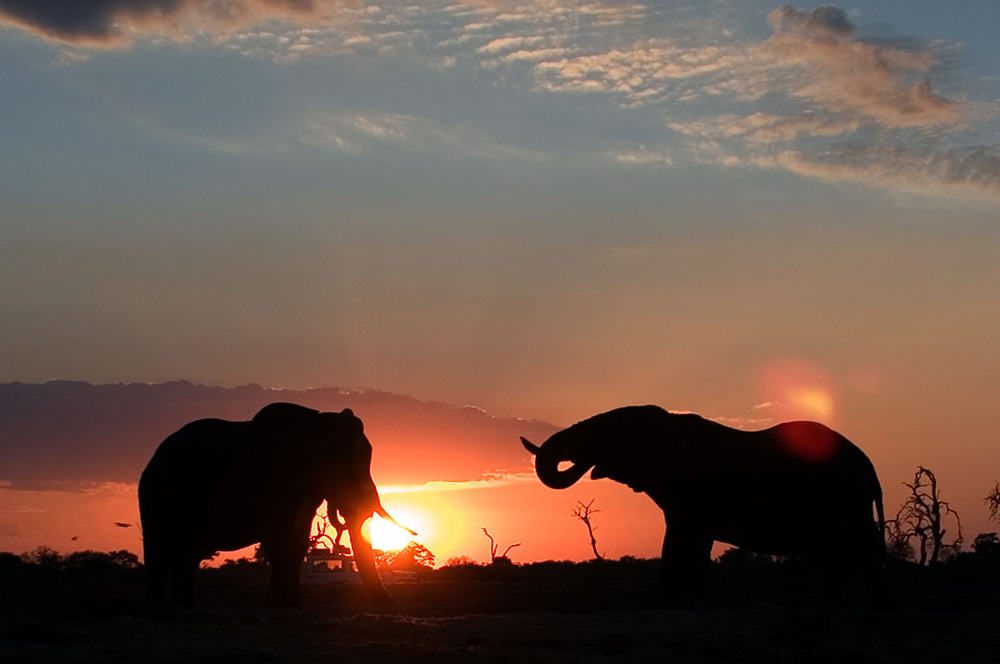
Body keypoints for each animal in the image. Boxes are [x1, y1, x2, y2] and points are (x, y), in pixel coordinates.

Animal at [138, 400, 402, 608]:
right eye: (341, 469)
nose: (393, 603)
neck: (315, 425)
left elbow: (298, 540)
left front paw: (289, 606)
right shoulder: (269, 482)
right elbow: (280, 540)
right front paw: (278, 606)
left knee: (187, 554)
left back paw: (186, 608)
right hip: (156, 494)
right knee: (159, 548)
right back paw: (157, 609)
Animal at [520, 404, 888, 608]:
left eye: (608, 435)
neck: (668, 423)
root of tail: (868, 464)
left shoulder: (692, 492)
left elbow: (682, 540)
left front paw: (676, 602)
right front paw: (686, 600)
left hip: (846, 502)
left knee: (861, 552)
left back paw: (877, 614)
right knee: (832, 559)